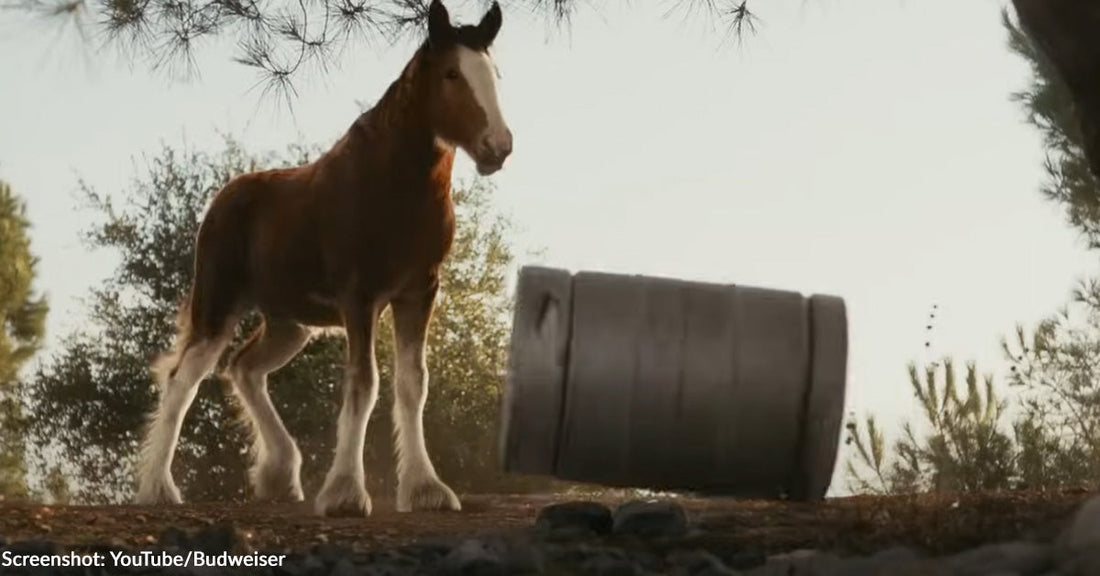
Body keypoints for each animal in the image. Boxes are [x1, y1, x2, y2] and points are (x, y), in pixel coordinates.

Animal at [134, 0, 513, 517]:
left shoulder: (419, 292)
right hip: (218, 306)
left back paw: (278, 474)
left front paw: (425, 489)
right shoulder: (360, 297)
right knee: (182, 381)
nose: (499, 147)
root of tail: (225, 197)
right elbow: (363, 384)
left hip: (289, 324)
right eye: (452, 73)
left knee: (245, 368)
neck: (394, 184)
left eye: (495, 74)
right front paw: (346, 493)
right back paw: (158, 488)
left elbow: (413, 384)